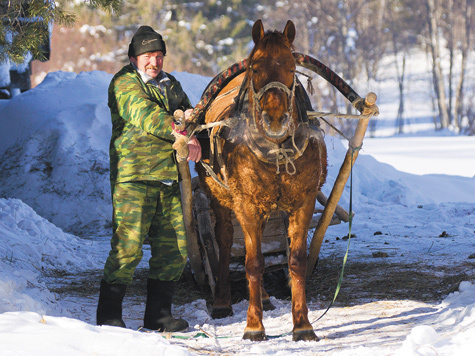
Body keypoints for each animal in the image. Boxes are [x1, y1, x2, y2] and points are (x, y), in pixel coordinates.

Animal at [196, 19, 328, 342]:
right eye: (255, 68)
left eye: (292, 67)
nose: (276, 119)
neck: (276, 149)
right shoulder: (246, 204)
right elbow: (252, 263)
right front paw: (254, 326)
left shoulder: (303, 201)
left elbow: (296, 261)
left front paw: (302, 323)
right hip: (219, 196)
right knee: (226, 238)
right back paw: (222, 301)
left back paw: (266, 298)